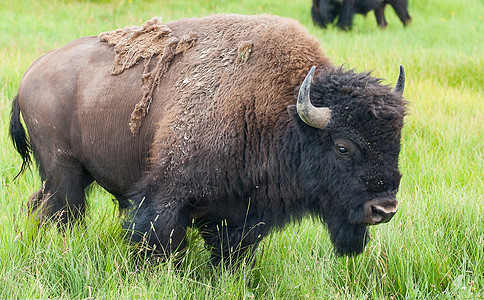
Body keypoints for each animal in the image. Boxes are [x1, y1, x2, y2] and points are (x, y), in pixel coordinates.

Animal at [9, 15, 406, 266]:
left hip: (68, 176)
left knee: (40, 205)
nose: (384, 209)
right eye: (343, 146)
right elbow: (159, 239)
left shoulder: (242, 213)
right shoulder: (166, 195)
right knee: (61, 212)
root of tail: (31, 74)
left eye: (397, 142)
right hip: (65, 174)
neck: (282, 110)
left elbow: (233, 251)